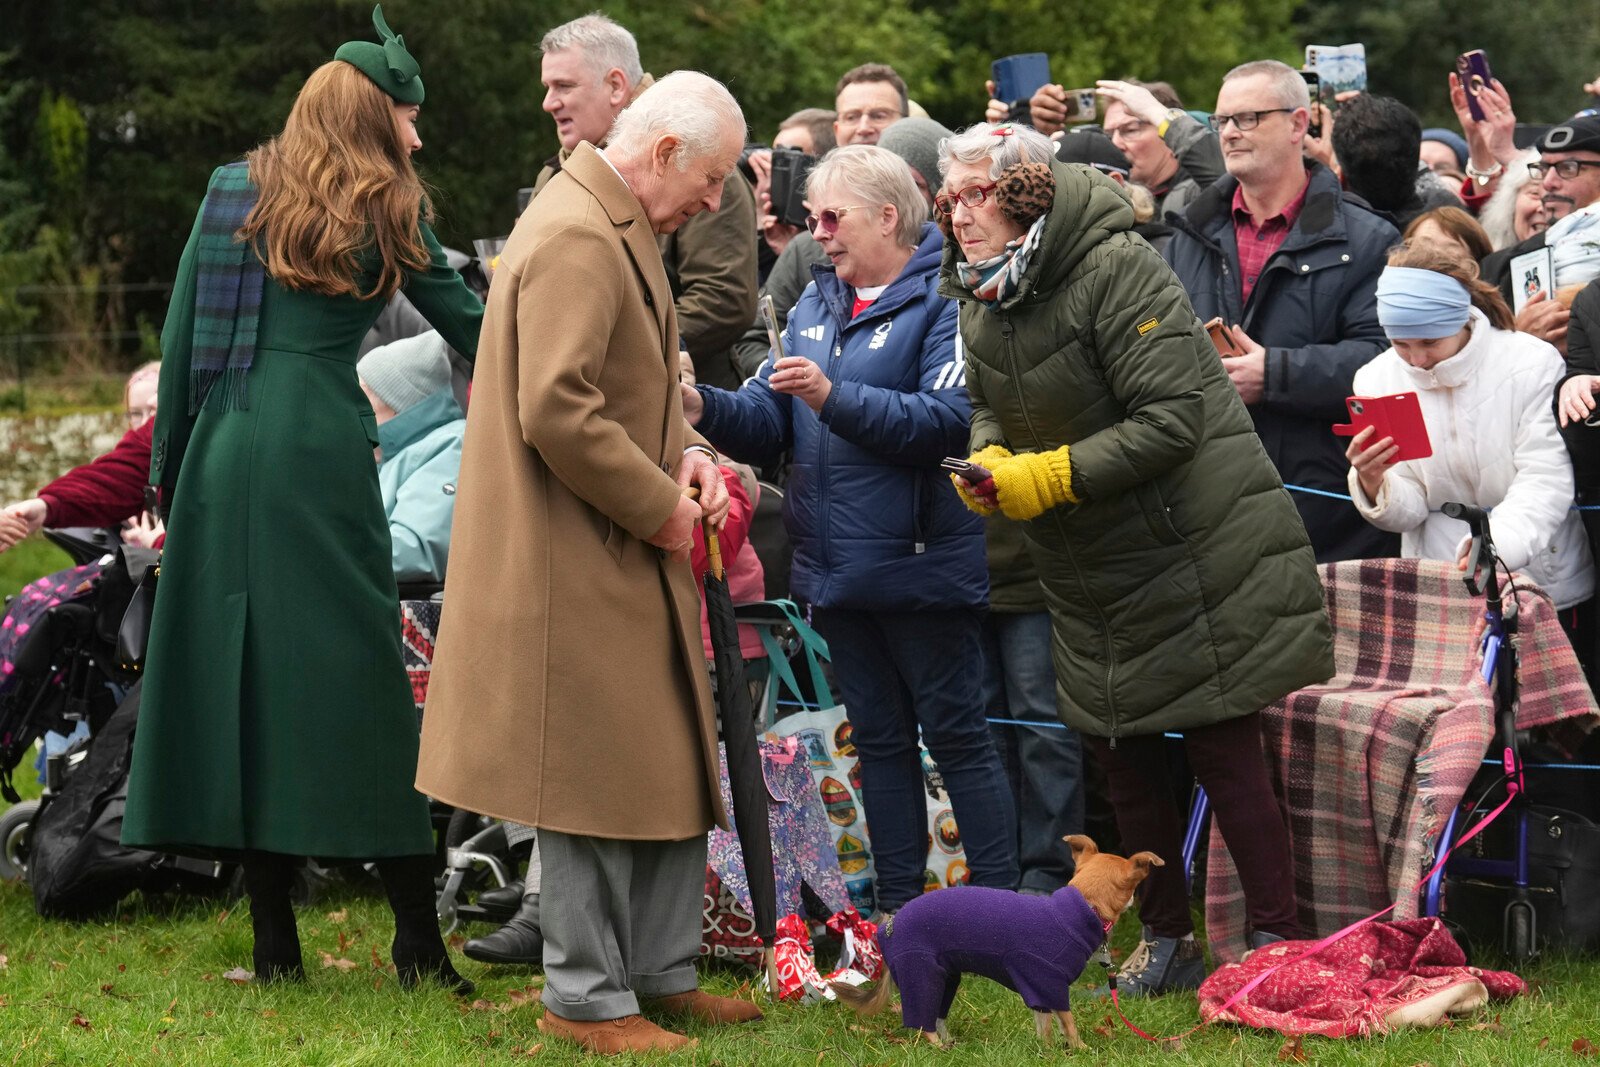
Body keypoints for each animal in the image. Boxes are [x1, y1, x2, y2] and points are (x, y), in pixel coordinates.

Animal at [832, 831, 1158, 1049]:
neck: (1081, 907)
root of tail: (887, 927)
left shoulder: (1038, 988)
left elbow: (1045, 1023)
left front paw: (1047, 1050)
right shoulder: (1047, 982)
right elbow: (1067, 1022)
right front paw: (1077, 1049)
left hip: (944, 976)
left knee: (936, 1015)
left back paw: (952, 1044)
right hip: (920, 972)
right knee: (923, 1021)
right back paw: (938, 1047)